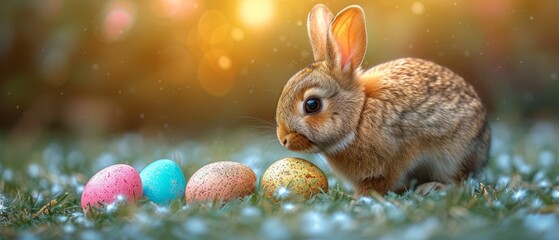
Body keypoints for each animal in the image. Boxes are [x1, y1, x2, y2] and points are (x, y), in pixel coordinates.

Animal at [276, 3, 490, 196]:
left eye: (312, 105)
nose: (283, 140)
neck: (358, 117)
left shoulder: (390, 161)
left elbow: (379, 183)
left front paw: (358, 200)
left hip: (454, 156)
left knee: (459, 182)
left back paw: (432, 188)